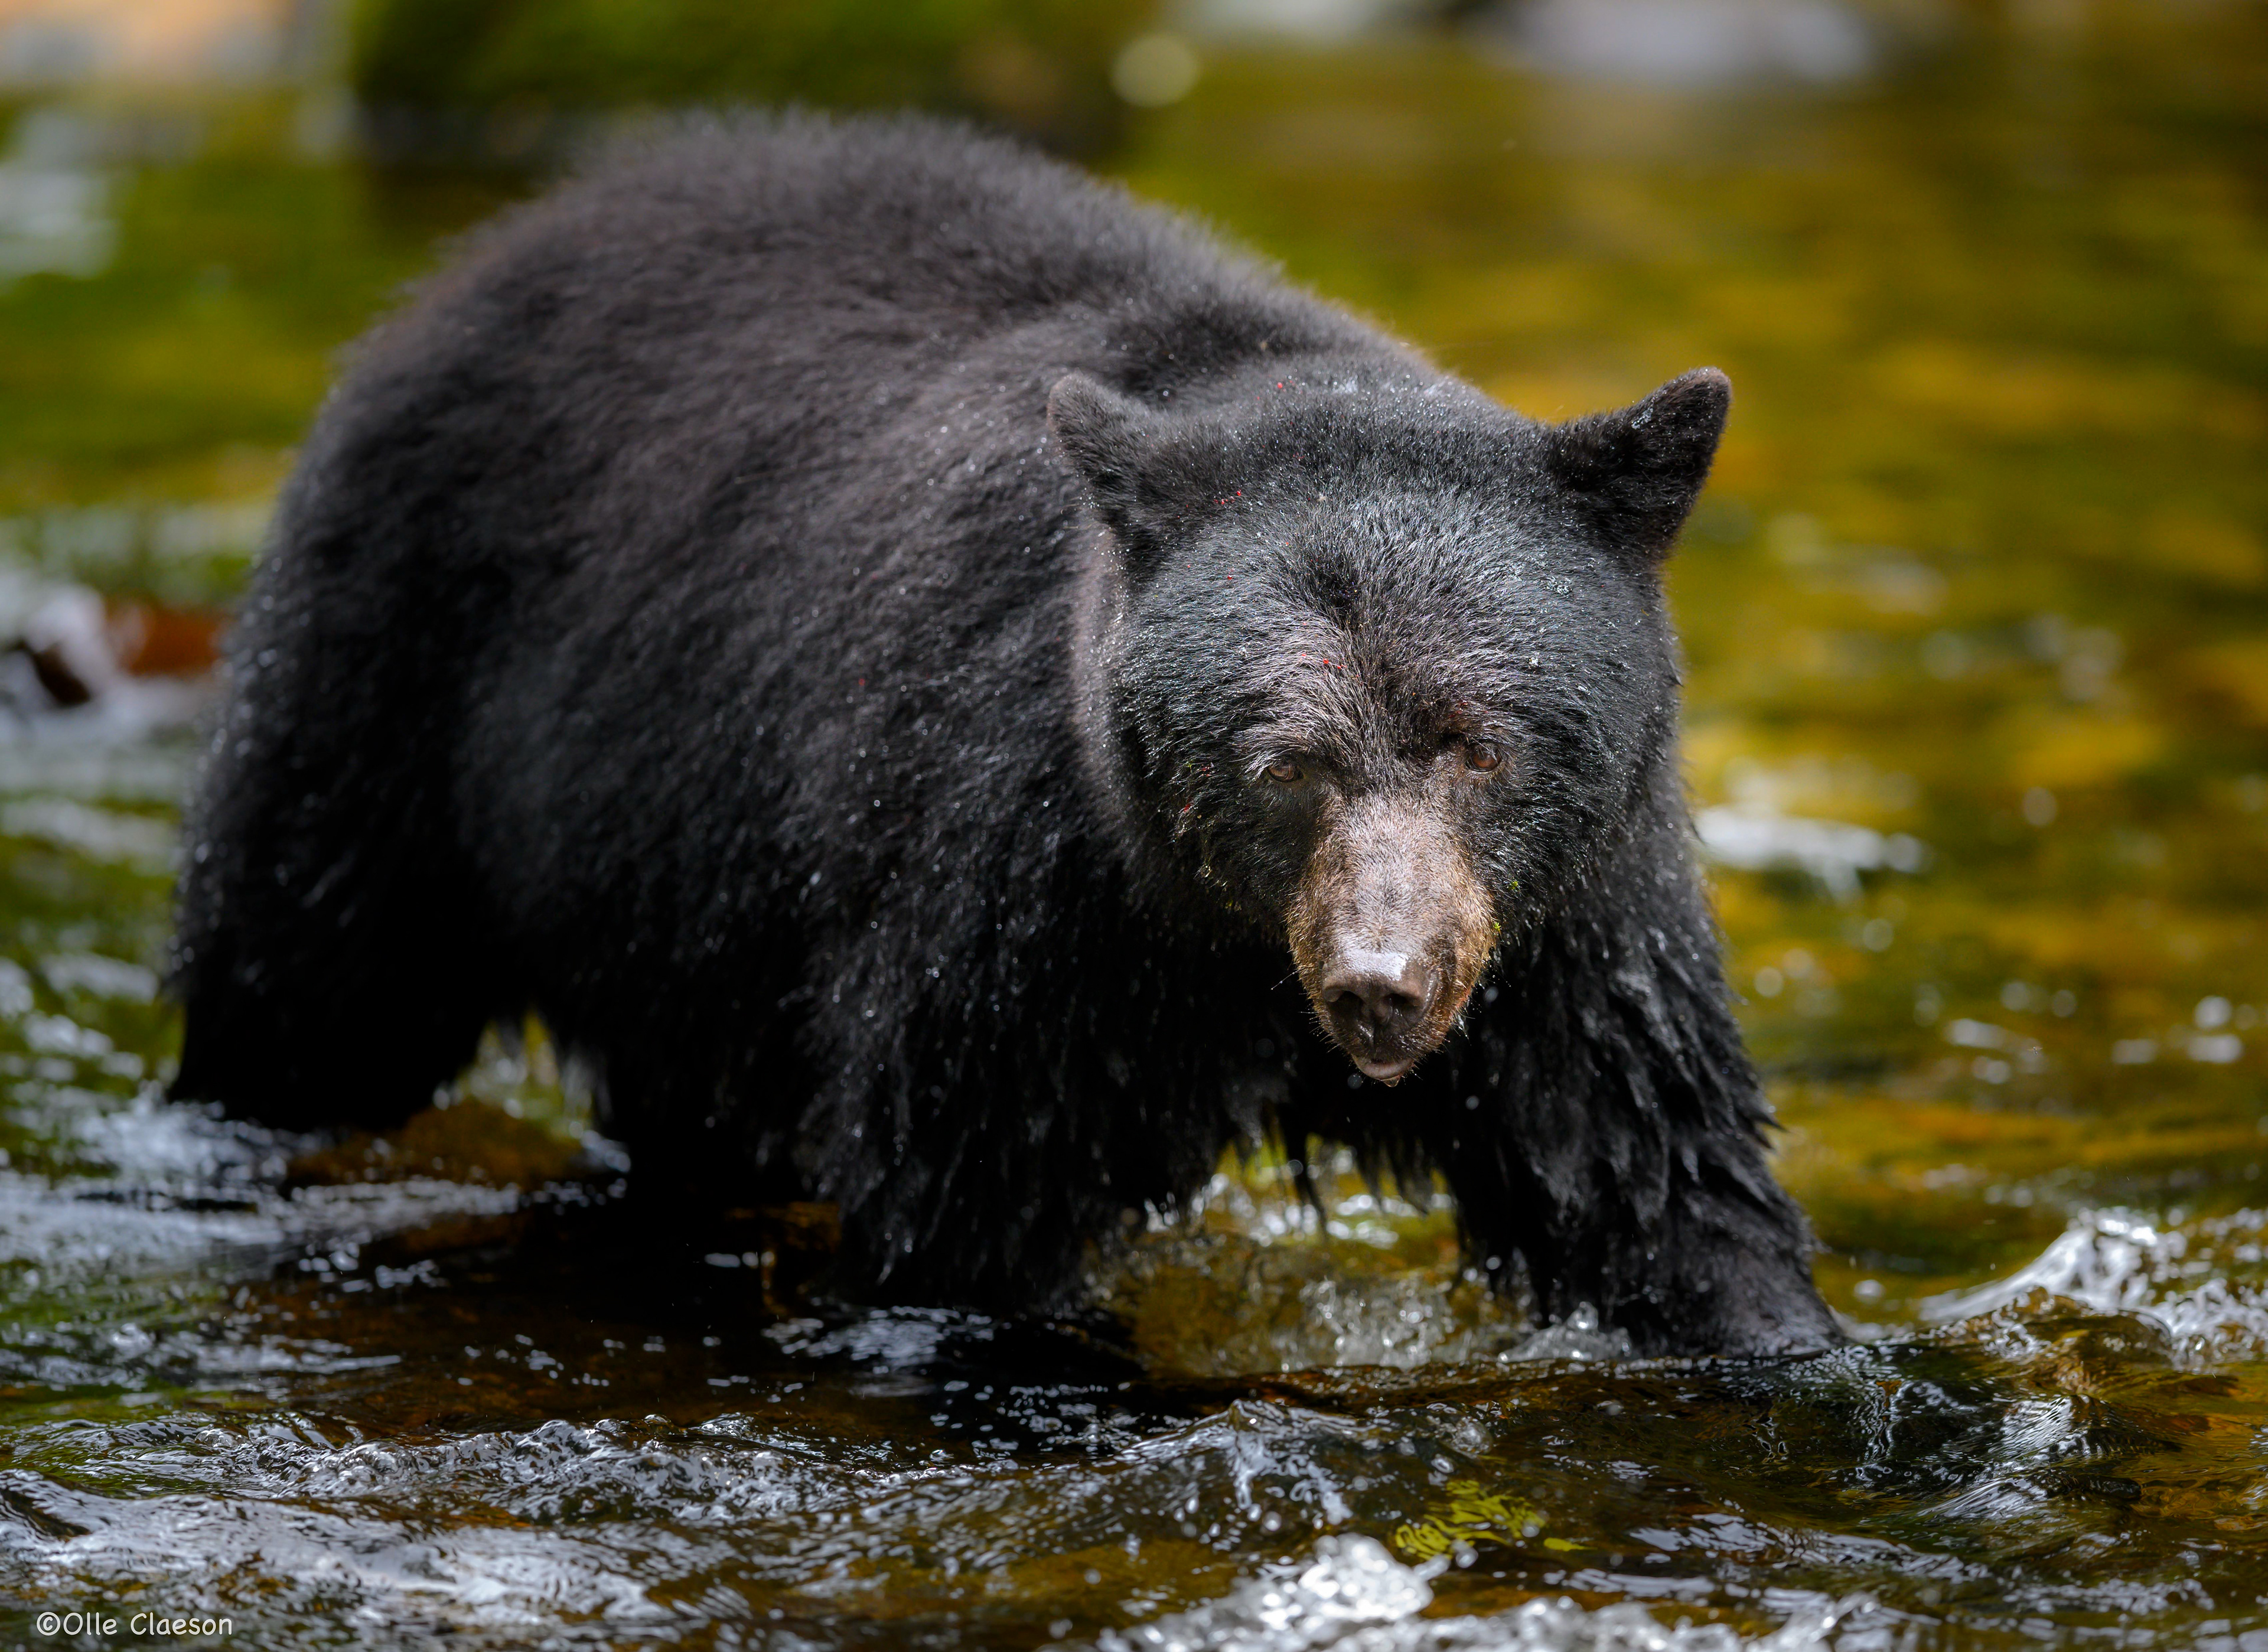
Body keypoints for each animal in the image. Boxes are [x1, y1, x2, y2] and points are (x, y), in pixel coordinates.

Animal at [171, 111, 1840, 1357]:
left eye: (1475, 742)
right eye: (1283, 764)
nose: (1382, 985)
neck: (1219, 948)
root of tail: (491, 248)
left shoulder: (1571, 925)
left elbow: (1650, 1174)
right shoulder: (1017, 893)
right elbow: (968, 1208)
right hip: (396, 683)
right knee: (305, 974)